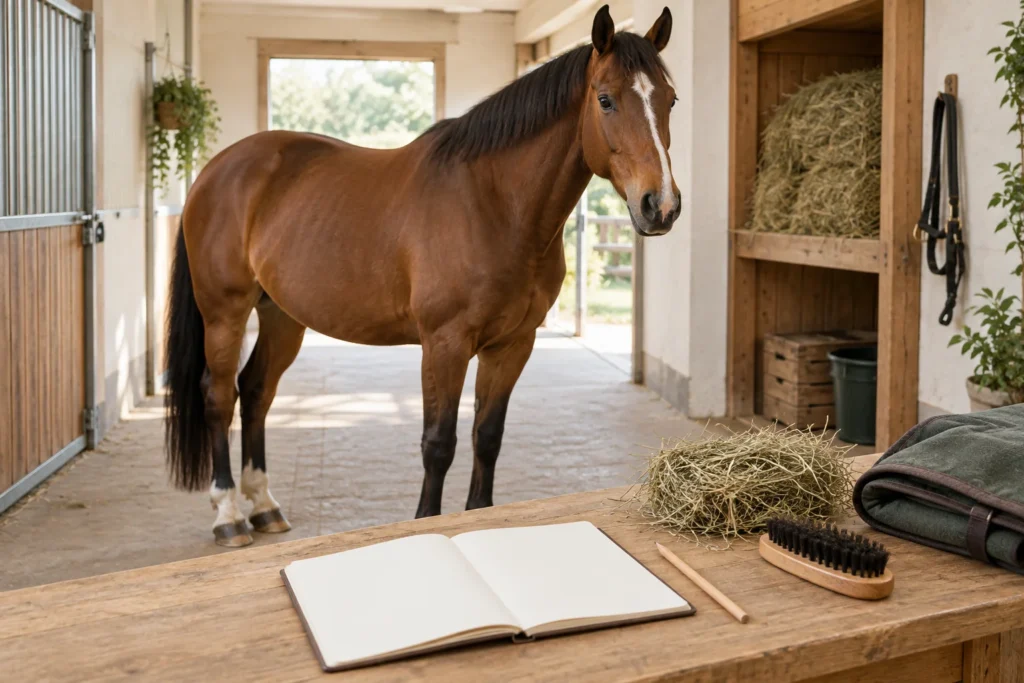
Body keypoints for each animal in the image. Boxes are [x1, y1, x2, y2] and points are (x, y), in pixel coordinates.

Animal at [165, 4, 680, 547]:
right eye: (605, 99)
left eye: (670, 99)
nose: (661, 206)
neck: (494, 205)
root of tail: (214, 170)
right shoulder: (444, 344)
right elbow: (439, 443)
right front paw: (426, 525)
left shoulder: (512, 345)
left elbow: (487, 437)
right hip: (224, 313)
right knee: (219, 395)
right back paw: (229, 515)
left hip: (283, 316)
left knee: (256, 391)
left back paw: (264, 506)